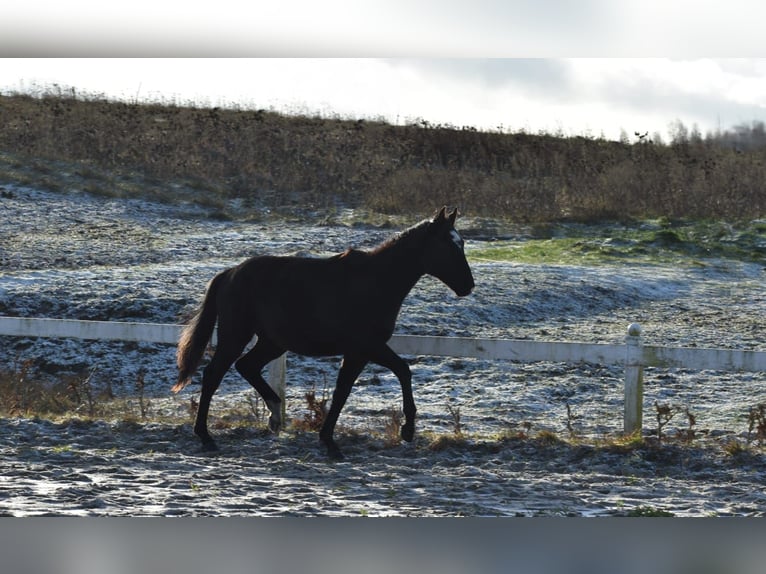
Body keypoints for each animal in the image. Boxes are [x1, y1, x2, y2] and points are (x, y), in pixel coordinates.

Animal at [174, 206, 474, 460]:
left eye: (461, 243)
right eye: (449, 245)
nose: (468, 286)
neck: (375, 282)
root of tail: (230, 273)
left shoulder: (365, 350)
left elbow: (378, 379)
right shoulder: (364, 348)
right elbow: (364, 384)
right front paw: (337, 442)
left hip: (273, 343)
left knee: (246, 366)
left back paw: (275, 413)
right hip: (236, 336)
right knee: (213, 374)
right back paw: (206, 436)